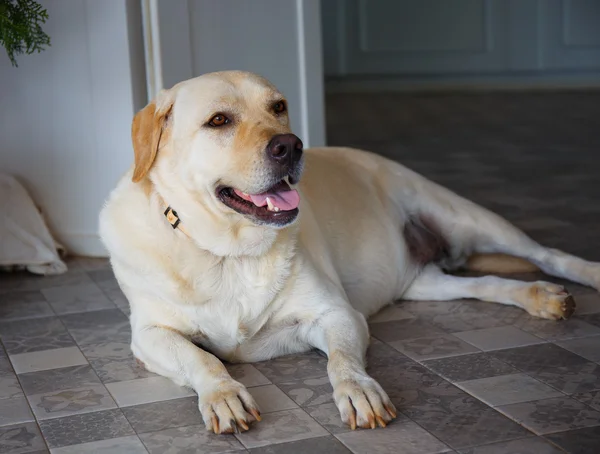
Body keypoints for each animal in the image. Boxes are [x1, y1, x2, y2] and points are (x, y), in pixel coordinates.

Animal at [99, 70, 600, 432]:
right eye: (218, 120)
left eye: (278, 107)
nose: (291, 145)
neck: (228, 252)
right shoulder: (148, 335)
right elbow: (199, 357)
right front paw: (222, 395)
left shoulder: (336, 313)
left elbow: (341, 360)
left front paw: (359, 391)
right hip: (424, 283)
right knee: (488, 283)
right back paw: (539, 296)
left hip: (466, 217)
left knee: (548, 255)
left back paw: (578, 277)